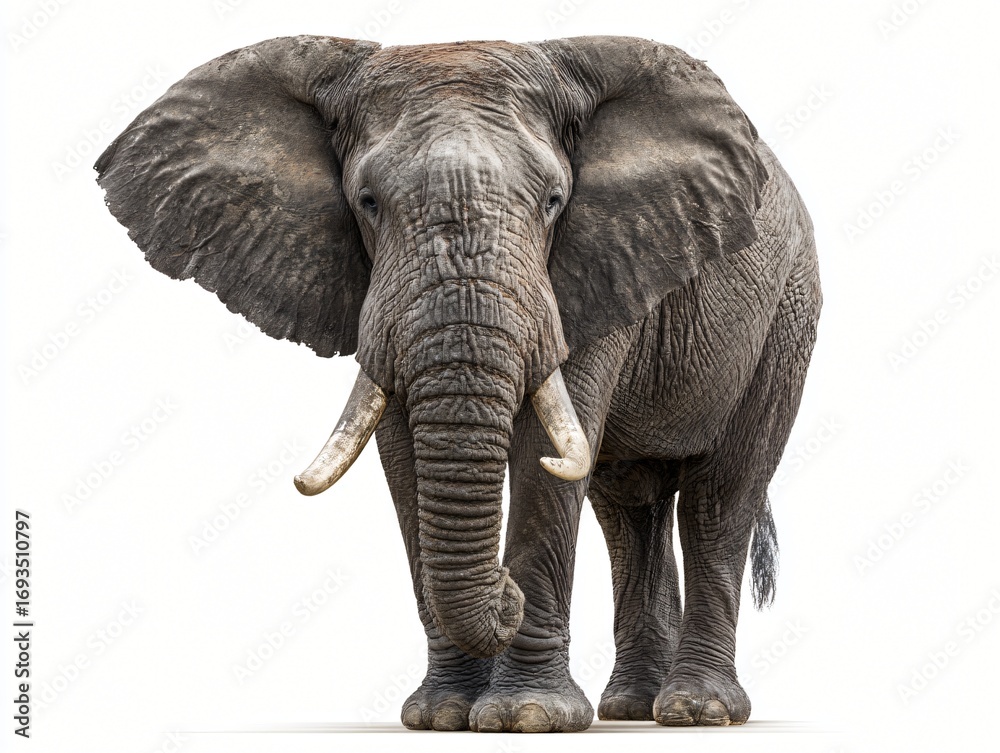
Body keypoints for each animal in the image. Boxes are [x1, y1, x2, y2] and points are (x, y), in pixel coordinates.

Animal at [95, 35, 821, 732]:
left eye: (554, 202)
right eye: (367, 202)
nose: (503, 588)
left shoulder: (592, 265)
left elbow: (547, 459)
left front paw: (526, 717)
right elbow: (403, 457)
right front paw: (442, 716)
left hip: (788, 312)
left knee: (718, 495)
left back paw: (698, 711)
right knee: (628, 506)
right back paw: (633, 708)